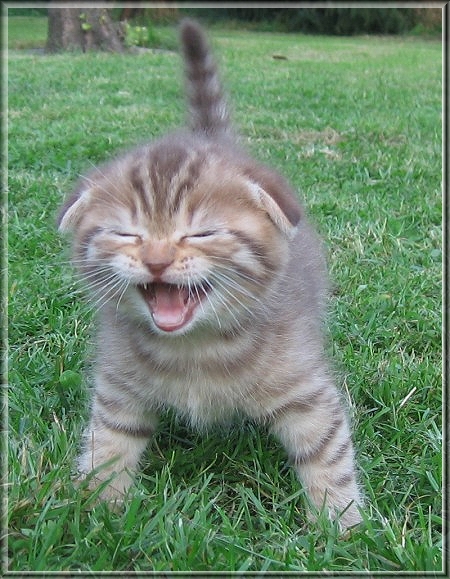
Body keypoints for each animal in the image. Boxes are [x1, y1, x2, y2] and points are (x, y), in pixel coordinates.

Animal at [59, 19, 362, 532]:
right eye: (127, 234)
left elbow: (327, 452)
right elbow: (110, 441)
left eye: (200, 233)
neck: (195, 348)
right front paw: (100, 513)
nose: (157, 260)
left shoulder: (305, 389)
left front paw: (343, 528)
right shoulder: (118, 386)